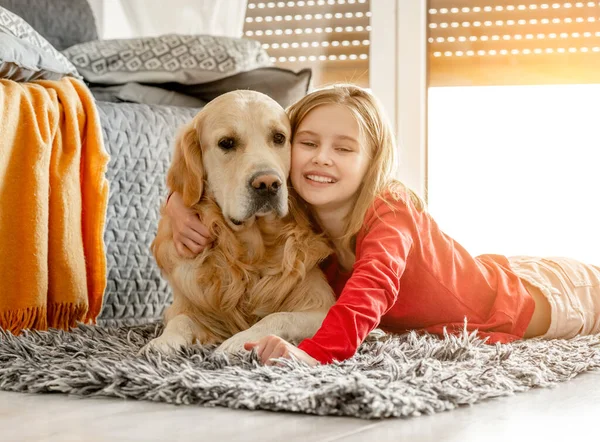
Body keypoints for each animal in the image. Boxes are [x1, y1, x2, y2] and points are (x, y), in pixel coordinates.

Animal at [144, 90, 336, 356]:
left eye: (279, 138)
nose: (268, 184)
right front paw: (163, 341)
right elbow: (180, 320)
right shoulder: (189, 304)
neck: (252, 251)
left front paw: (240, 340)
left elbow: (278, 316)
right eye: (227, 143)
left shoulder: (321, 306)